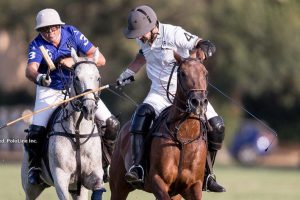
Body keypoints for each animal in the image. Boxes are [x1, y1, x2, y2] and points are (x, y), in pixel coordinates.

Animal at [21, 48, 105, 200]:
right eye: (76, 78)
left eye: (98, 78)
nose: (89, 108)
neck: (78, 131)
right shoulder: (60, 177)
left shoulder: (93, 175)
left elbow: (98, 188)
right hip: (31, 187)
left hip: (77, 189)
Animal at [109, 56, 209, 200]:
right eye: (182, 73)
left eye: (205, 73)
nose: (199, 102)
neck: (184, 136)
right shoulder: (157, 181)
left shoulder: (193, 186)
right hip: (118, 187)